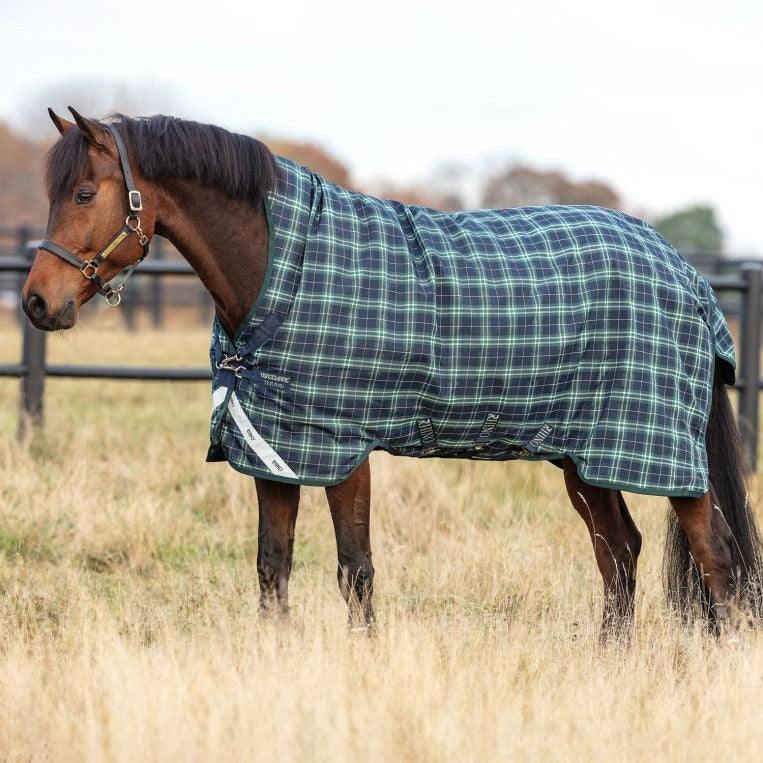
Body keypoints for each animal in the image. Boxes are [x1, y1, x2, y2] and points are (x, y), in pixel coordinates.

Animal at [21, 107, 763, 642]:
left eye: (83, 192)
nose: (36, 302)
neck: (282, 269)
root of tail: (688, 277)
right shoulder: (275, 448)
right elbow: (272, 566)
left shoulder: (342, 448)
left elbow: (355, 570)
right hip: (585, 454)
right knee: (620, 552)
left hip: (658, 448)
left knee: (715, 553)